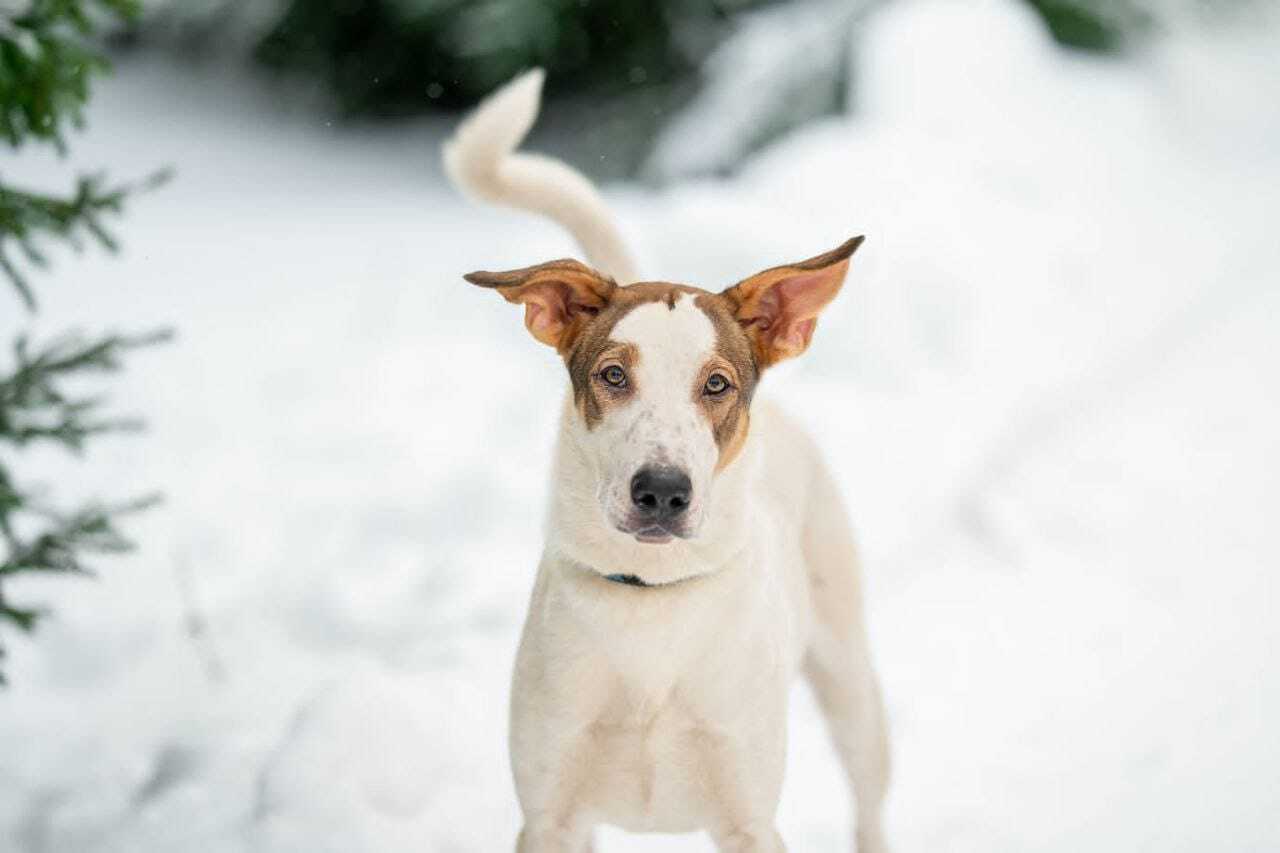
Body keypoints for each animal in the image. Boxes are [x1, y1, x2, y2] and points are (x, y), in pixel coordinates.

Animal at [445, 68, 885, 850]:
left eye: (717, 384)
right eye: (613, 375)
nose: (661, 491)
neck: (650, 600)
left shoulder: (747, 815)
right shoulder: (551, 812)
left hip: (848, 674)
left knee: (868, 795)